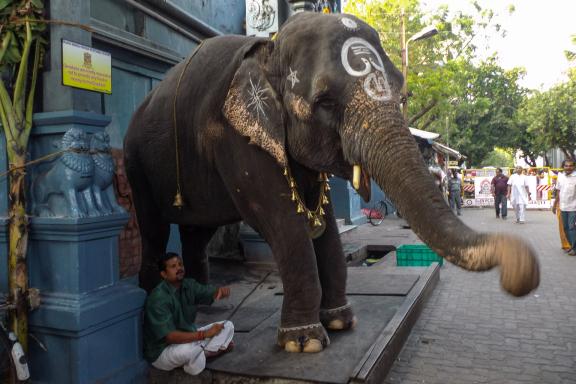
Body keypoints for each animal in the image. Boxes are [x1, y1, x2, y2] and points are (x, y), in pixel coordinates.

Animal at [122, 12, 540, 354]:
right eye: (324, 102)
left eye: (402, 92)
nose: (521, 275)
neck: (269, 50)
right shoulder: (235, 135)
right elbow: (279, 218)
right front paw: (303, 342)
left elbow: (321, 219)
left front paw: (341, 320)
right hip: (135, 159)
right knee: (154, 226)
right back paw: (150, 296)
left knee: (197, 231)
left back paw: (203, 302)